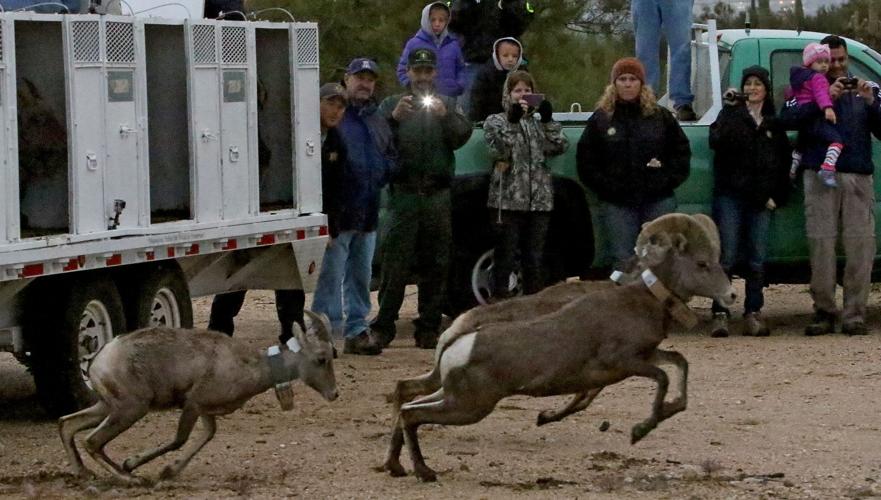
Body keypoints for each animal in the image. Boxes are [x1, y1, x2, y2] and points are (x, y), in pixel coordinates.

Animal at [58, 310, 338, 484]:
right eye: (321, 358)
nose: (334, 394)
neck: (250, 366)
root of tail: (101, 359)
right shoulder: (193, 404)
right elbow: (179, 440)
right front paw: (133, 464)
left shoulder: (205, 411)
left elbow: (207, 435)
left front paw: (168, 471)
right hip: (130, 409)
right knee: (92, 441)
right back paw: (131, 478)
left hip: (106, 406)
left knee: (67, 424)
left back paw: (84, 474)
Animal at [383, 213, 736, 482]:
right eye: (702, 264)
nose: (730, 296)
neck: (643, 299)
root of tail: (457, 341)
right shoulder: (623, 362)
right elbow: (661, 378)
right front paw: (639, 431)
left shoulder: (647, 356)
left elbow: (680, 364)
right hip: (470, 407)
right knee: (412, 414)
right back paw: (424, 472)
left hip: (450, 394)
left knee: (407, 405)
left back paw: (396, 467)